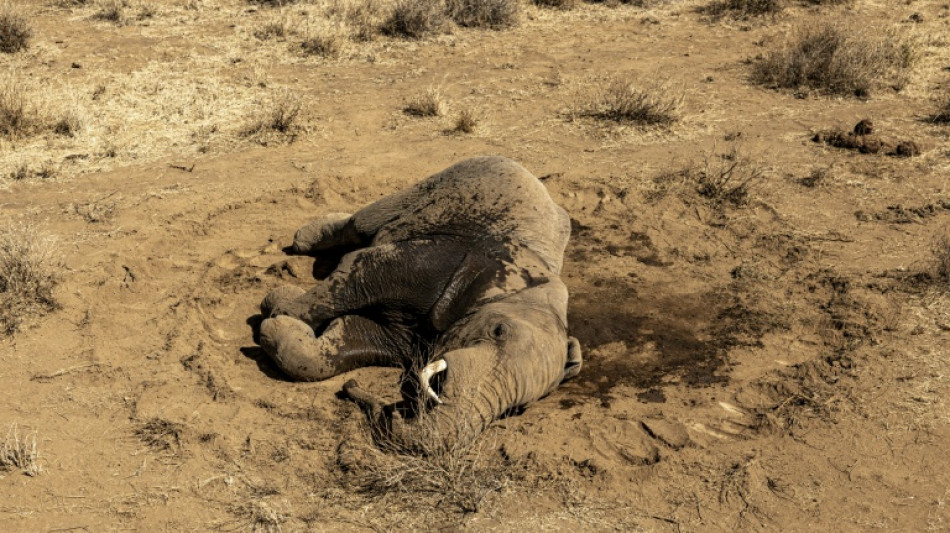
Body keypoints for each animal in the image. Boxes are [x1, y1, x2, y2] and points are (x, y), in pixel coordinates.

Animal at [257, 156, 582, 453]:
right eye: (498, 331)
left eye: (519, 409)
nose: (350, 387)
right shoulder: (444, 261)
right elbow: (359, 269)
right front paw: (277, 305)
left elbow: (352, 338)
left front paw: (283, 326)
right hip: (439, 182)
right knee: (359, 225)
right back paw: (304, 238)